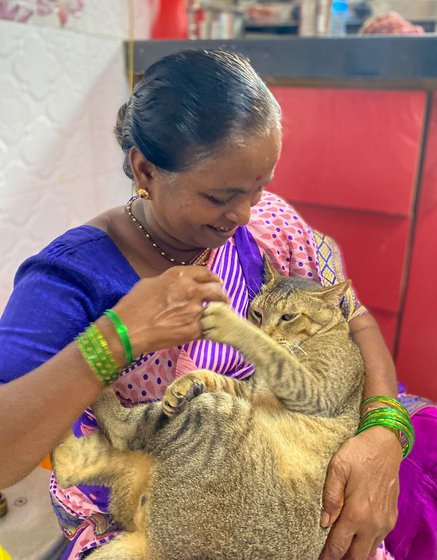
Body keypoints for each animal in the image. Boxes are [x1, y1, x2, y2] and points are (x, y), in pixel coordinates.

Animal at [52, 258, 364, 560]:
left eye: (288, 317)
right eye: (257, 313)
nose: (263, 327)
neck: (327, 334)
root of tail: (152, 547)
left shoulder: (314, 390)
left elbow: (269, 351)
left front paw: (228, 321)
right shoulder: (249, 391)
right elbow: (218, 377)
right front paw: (183, 385)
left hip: (213, 412)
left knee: (121, 432)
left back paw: (101, 377)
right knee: (70, 463)